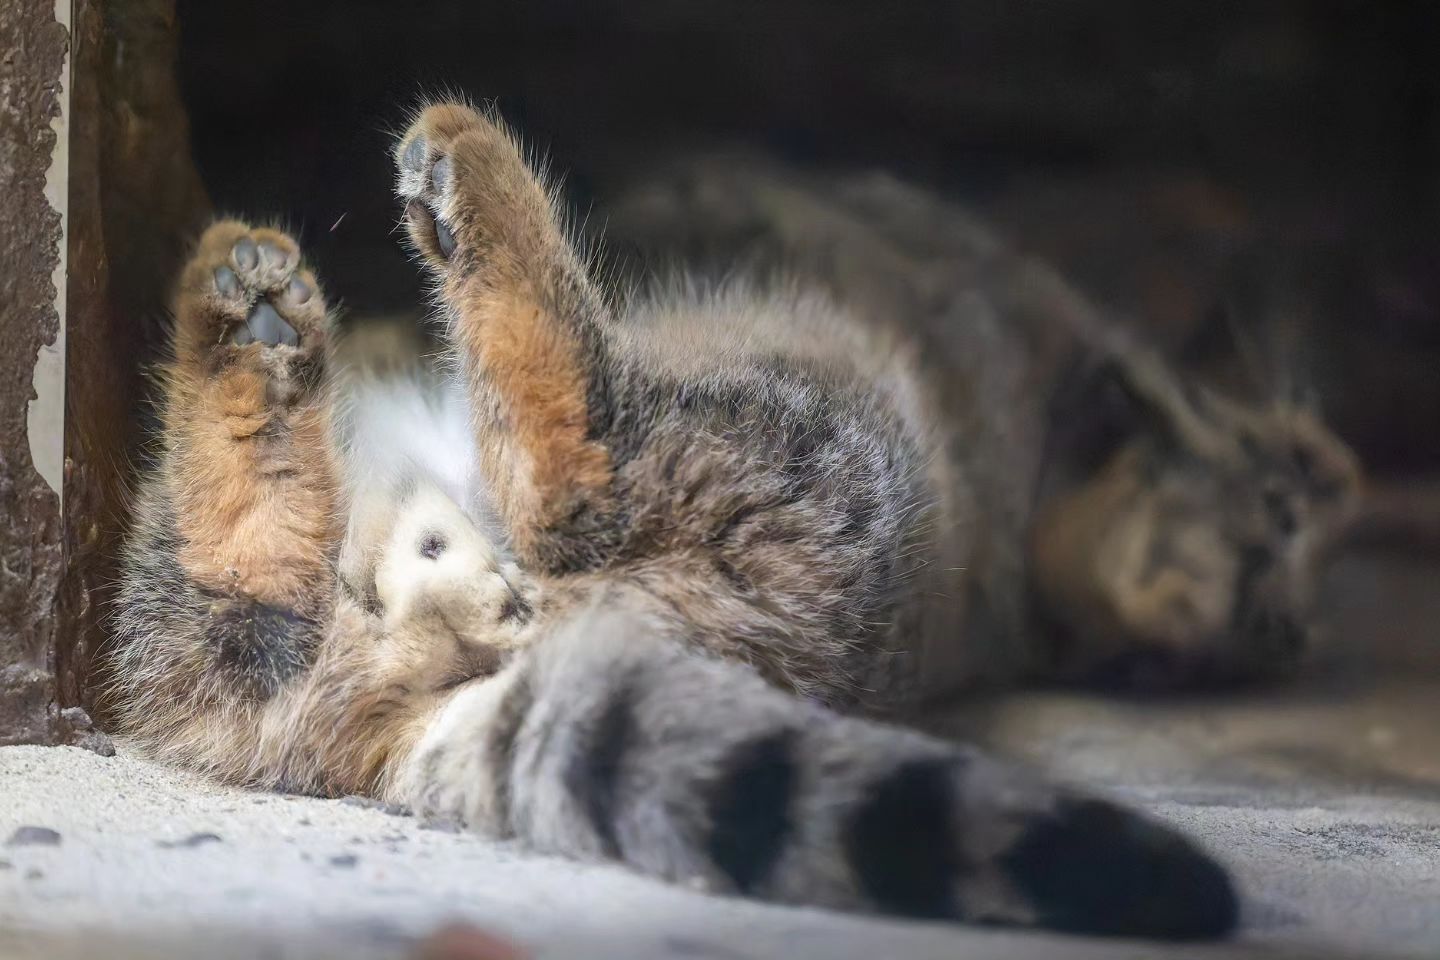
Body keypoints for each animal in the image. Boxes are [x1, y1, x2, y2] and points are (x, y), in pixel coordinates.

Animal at [112, 101, 1359, 944]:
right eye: (1282, 504)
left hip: (801, 452)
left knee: (590, 465)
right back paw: (256, 359)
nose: (1278, 592)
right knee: (245, 595)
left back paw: (463, 187)